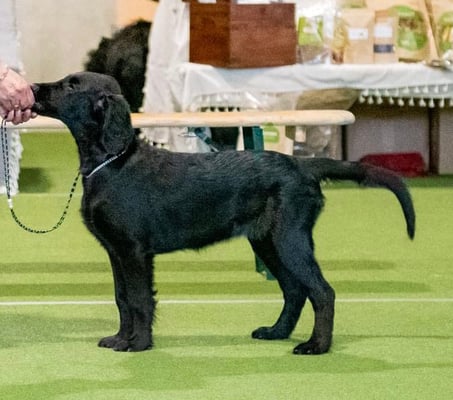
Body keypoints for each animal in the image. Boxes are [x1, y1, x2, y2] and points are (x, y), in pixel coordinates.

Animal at [32, 72, 415, 354]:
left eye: (71, 85)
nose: (33, 87)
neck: (111, 162)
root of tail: (303, 165)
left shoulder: (134, 251)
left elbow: (140, 299)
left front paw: (138, 344)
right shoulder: (115, 251)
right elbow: (122, 298)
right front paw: (119, 339)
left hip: (289, 239)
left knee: (322, 292)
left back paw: (316, 346)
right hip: (266, 242)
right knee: (295, 290)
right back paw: (276, 332)